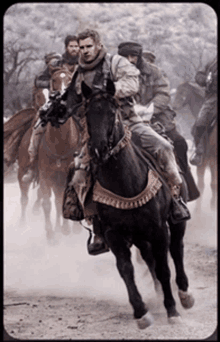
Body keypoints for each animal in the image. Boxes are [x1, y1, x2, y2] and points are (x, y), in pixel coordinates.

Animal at [17, 68, 81, 242]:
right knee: (25, 198)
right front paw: (51, 234)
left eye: (70, 79)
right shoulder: (46, 175)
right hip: (24, 172)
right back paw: (23, 224)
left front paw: (66, 229)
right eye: (54, 80)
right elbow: (46, 203)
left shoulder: (66, 177)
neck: (60, 144)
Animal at [81, 79, 194, 328]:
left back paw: (184, 295)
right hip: (140, 235)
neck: (125, 181)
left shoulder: (159, 229)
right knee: (148, 258)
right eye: (87, 113)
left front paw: (172, 310)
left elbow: (164, 267)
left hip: (175, 223)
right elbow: (126, 269)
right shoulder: (114, 234)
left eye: (112, 111)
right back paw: (159, 294)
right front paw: (141, 312)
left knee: (176, 250)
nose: (98, 148)